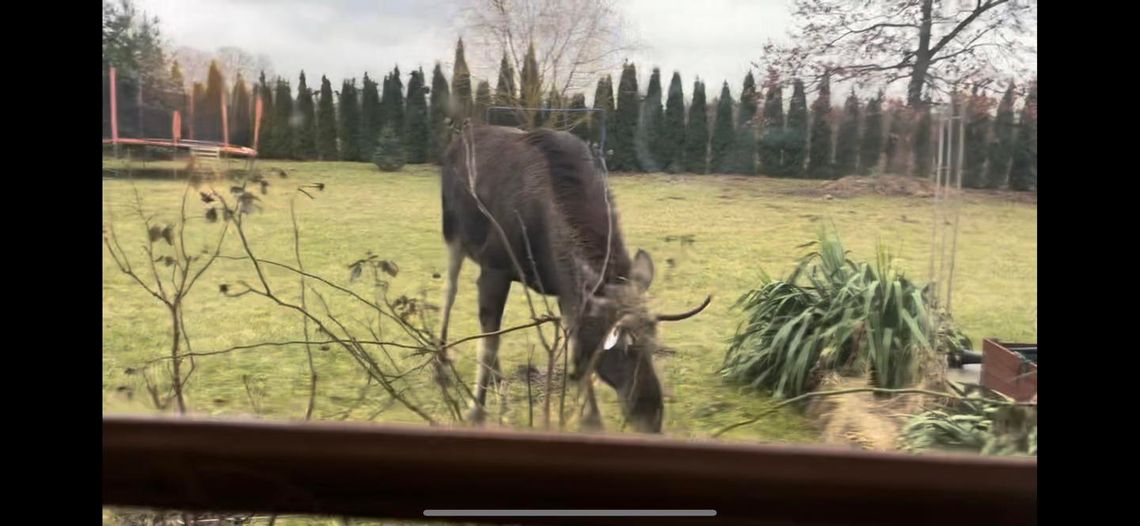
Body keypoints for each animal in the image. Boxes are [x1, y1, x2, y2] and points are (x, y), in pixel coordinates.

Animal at [440, 122, 706, 431]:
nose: (651, 415)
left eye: (654, 343)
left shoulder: (566, 292)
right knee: (450, 292)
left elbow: (575, 355)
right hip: (453, 235)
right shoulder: (495, 268)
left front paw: (591, 419)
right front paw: (476, 410)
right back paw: (441, 358)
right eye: (623, 347)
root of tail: (457, 139)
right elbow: (489, 342)